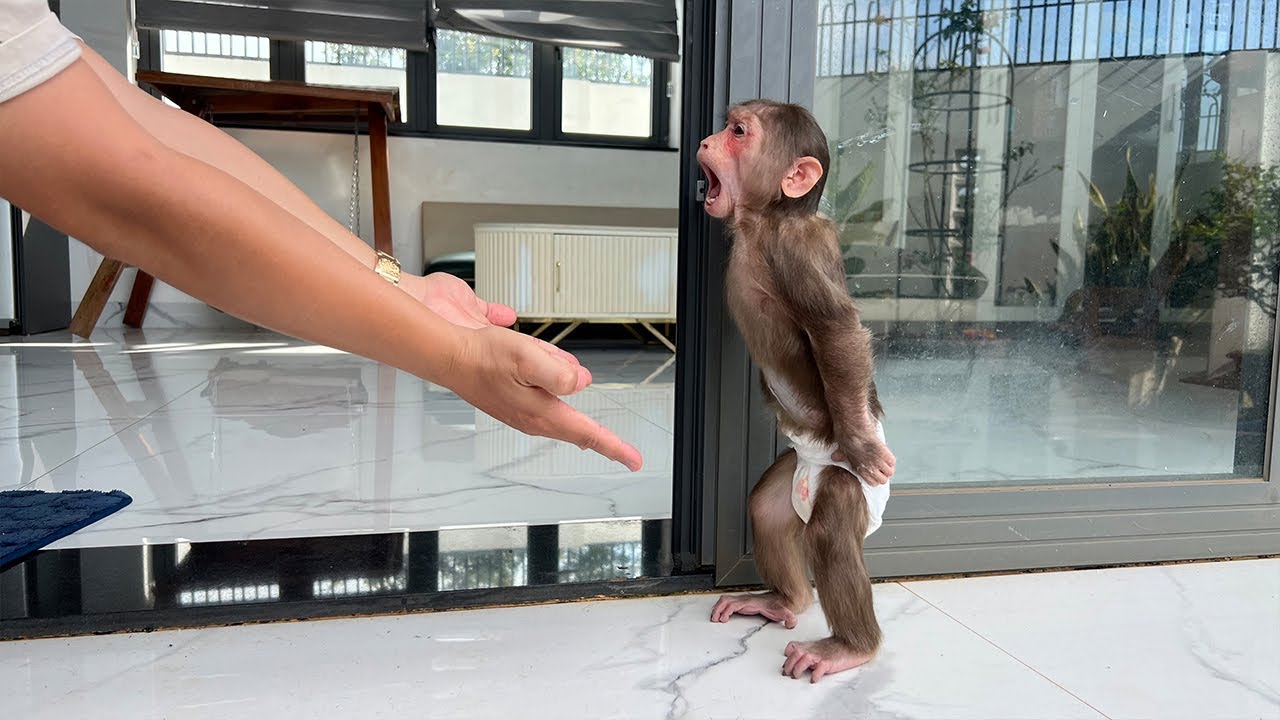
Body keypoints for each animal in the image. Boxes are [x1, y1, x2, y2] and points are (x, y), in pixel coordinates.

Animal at [698, 99, 897, 683]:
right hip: (793, 475)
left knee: (830, 530)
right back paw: (783, 601)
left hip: (849, 489)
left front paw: (863, 445)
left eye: (739, 132)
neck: (767, 220)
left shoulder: (796, 253)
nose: (707, 141)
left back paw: (850, 646)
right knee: (766, 509)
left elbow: (836, 329)